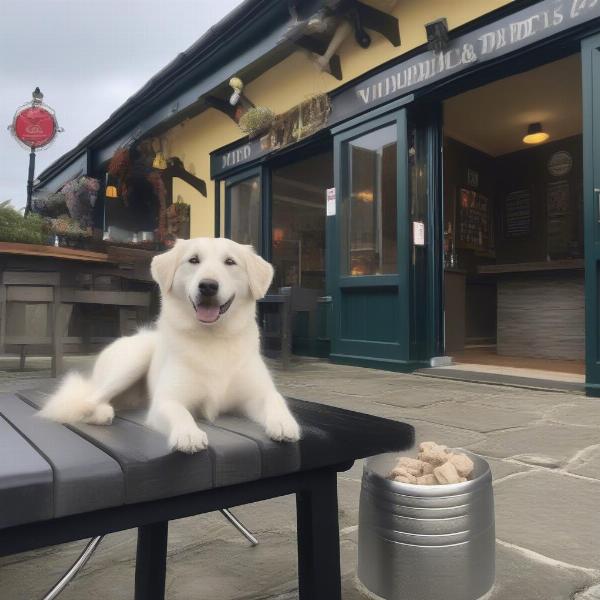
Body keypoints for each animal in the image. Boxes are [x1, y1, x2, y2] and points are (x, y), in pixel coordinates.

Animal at [41, 237, 302, 452]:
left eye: (230, 262)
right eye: (194, 260)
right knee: (86, 400)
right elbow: (179, 412)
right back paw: (100, 411)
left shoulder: (257, 395)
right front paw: (188, 434)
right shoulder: (166, 400)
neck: (213, 340)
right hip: (132, 361)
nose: (208, 286)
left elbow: (275, 400)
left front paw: (284, 423)